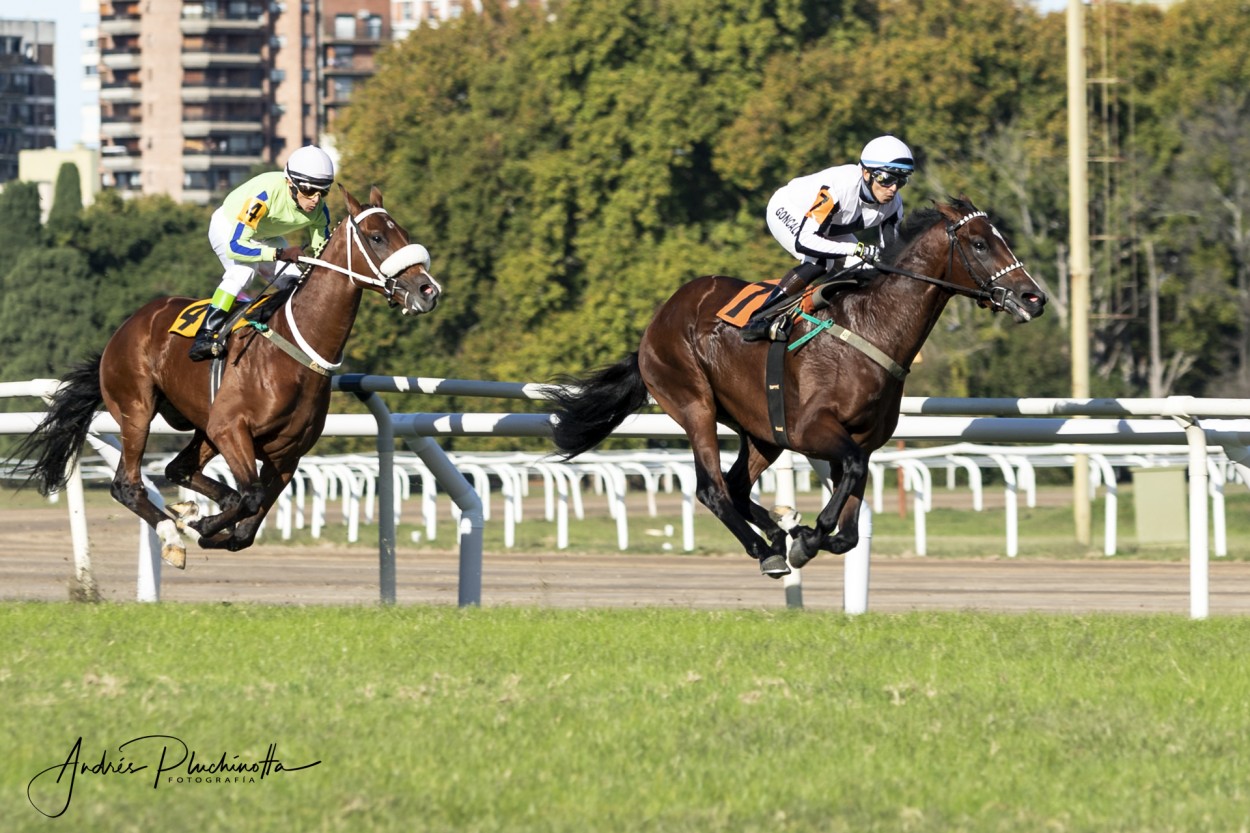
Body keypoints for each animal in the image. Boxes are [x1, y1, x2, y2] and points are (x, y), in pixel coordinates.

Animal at [14, 185, 442, 567]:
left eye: (405, 235)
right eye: (377, 237)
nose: (428, 290)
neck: (292, 349)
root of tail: (127, 326)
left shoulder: (287, 454)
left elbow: (245, 529)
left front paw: (204, 521)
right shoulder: (231, 428)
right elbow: (249, 497)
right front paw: (200, 524)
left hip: (203, 426)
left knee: (179, 469)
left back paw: (188, 511)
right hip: (137, 409)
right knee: (127, 484)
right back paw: (172, 535)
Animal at [552, 197, 1050, 577]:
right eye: (980, 243)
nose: (1034, 298)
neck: (870, 327)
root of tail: (655, 324)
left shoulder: (861, 440)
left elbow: (851, 525)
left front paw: (806, 534)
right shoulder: (811, 430)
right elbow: (848, 478)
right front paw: (808, 536)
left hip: (762, 431)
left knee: (736, 485)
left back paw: (776, 532)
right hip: (694, 404)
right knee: (712, 488)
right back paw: (767, 549)